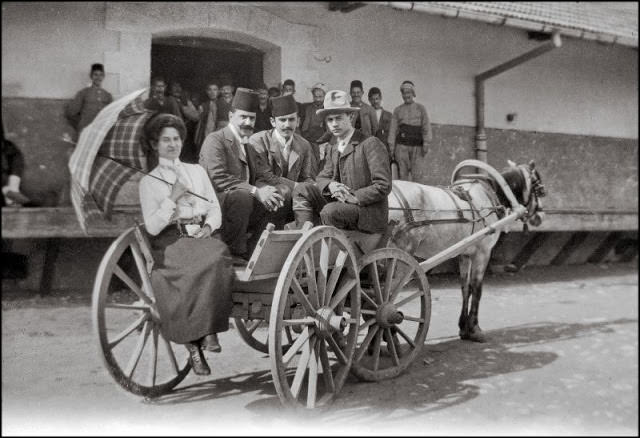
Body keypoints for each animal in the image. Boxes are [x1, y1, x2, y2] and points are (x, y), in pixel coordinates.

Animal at [384, 160, 544, 342]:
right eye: (540, 189)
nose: (540, 217)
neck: (489, 196)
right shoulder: (483, 252)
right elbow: (477, 288)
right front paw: (475, 329)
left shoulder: (465, 254)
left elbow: (465, 288)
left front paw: (464, 328)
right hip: (401, 254)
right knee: (389, 294)